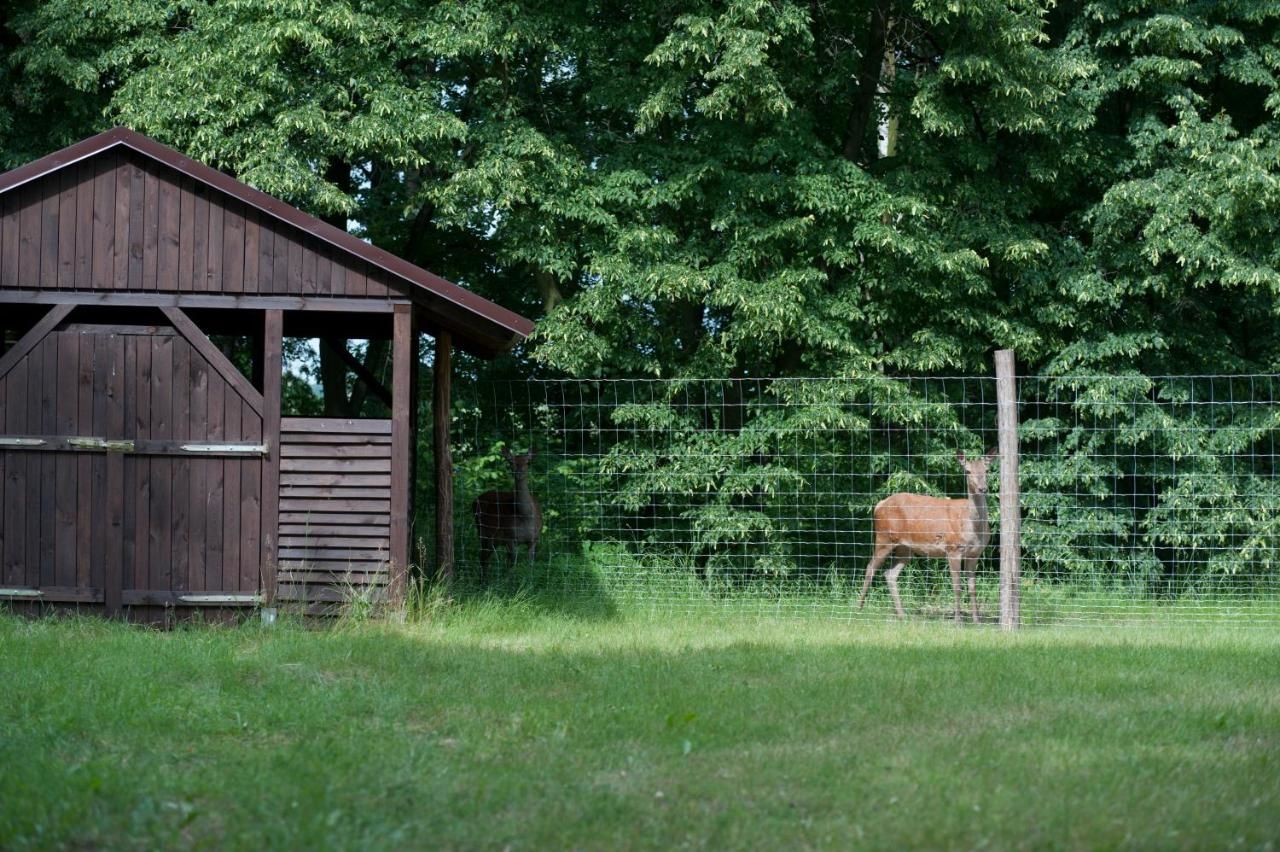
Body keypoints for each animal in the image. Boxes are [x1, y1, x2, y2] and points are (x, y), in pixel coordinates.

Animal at [476, 445, 545, 578]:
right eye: (511, 462)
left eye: (528, 462)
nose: (518, 473)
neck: (524, 517)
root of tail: (475, 500)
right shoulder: (510, 537)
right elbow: (512, 566)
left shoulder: (534, 539)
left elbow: (530, 565)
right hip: (483, 532)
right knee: (483, 557)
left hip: (493, 540)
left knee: (485, 557)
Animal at [860, 447, 998, 621]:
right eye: (967, 471)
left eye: (987, 470)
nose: (982, 489)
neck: (973, 529)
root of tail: (878, 505)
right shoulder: (953, 548)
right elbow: (957, 586)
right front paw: (958, 620)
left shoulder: (975, 554)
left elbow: (972, 588)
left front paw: (977, 620)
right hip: (884, 537)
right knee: (870, 567)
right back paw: (859, 609)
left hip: (905, 548)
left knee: (889, 573)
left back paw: (902, 614)